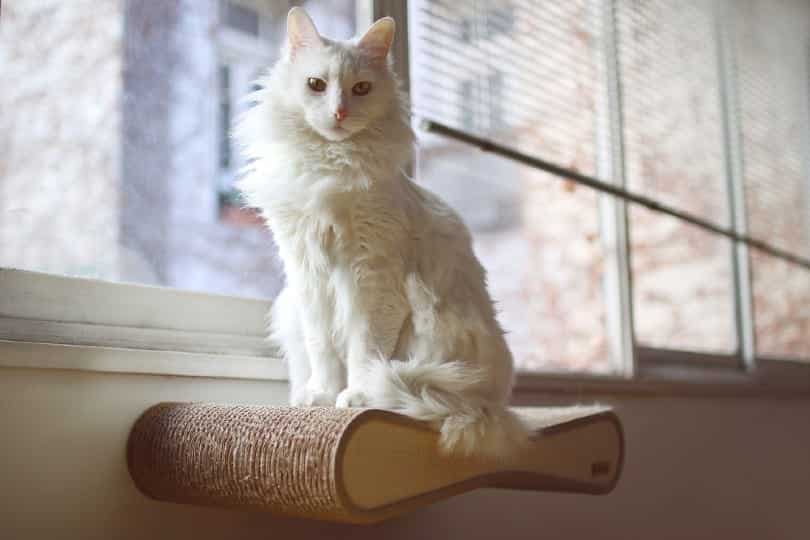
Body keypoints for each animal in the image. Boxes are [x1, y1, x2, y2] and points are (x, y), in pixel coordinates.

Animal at [235, 8, 524, 456]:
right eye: (316, 85)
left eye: (361, 89)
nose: (339, 113)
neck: (329, 165)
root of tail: (488, 407)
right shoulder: (308, 274)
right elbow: (323, 349)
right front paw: (322, 396)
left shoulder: (371, 277)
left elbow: (365, 349)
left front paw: (357, 397)